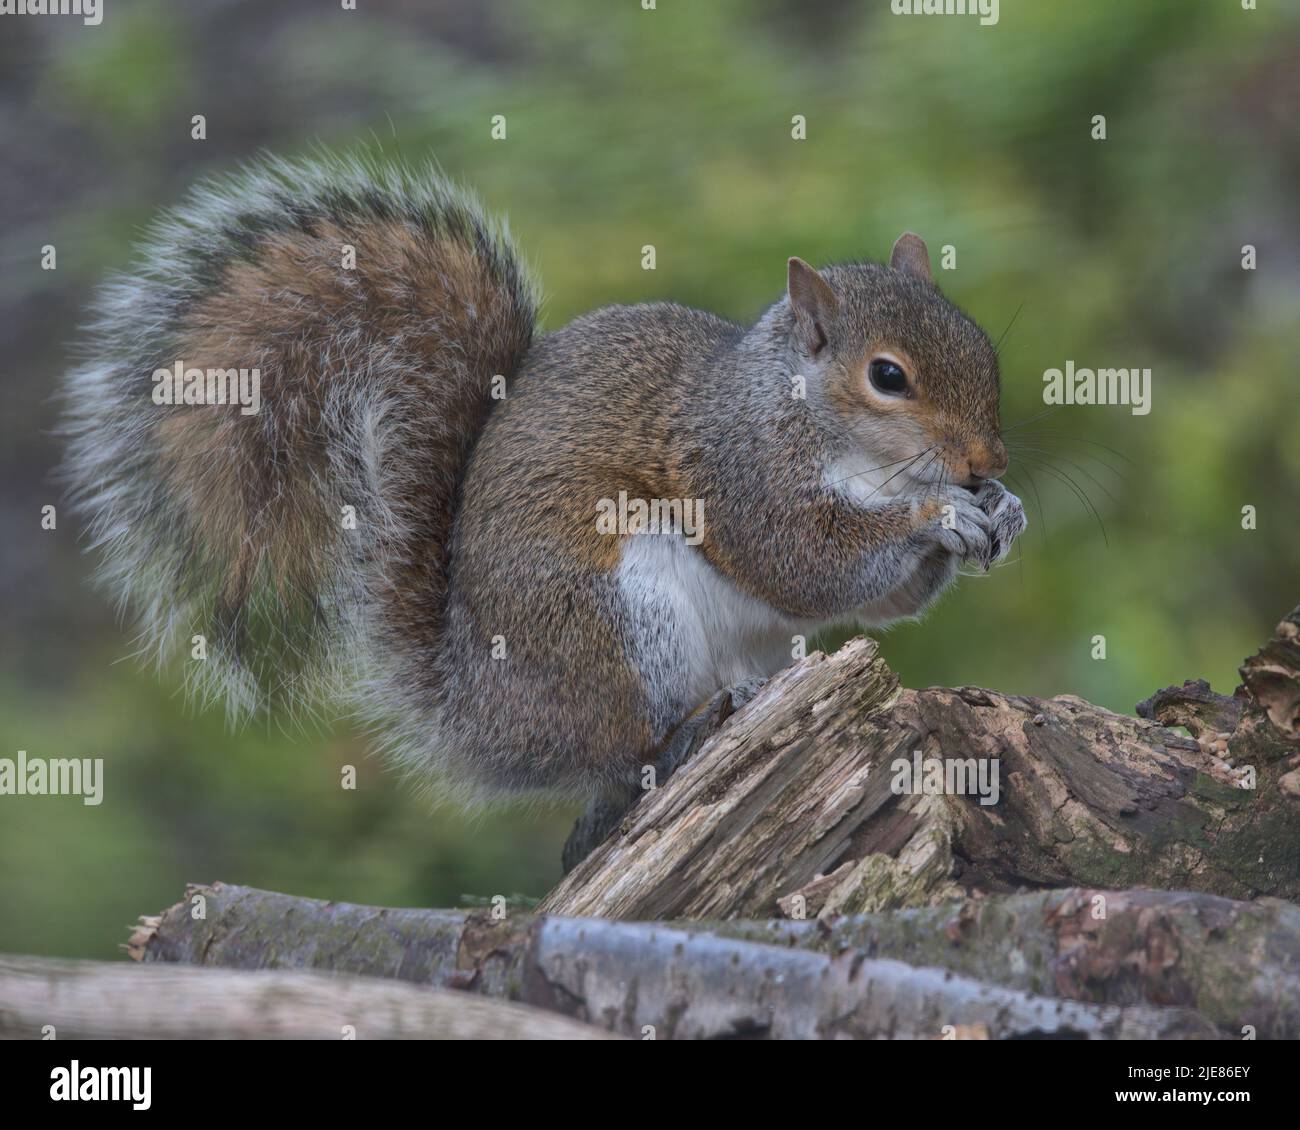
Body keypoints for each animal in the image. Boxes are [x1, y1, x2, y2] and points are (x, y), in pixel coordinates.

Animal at [63, 152, 1024, 821]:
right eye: (888, 376)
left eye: (983, 341)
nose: (988, 465)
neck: (827, 432)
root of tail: (479, 714)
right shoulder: (740, 470)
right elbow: (805, 562)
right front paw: (937, 514)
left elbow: (882, 603)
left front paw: (999, 516)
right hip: (614, 615)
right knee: (620, 754)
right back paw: (689, 727)